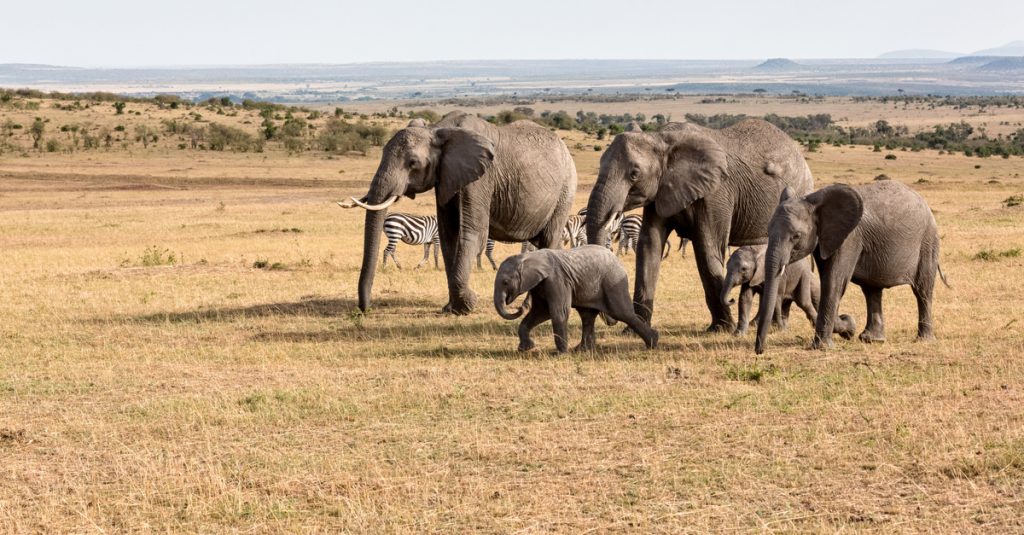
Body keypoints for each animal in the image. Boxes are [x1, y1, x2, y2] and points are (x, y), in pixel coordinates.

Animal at [497, 243, 663, 352]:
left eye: (505, 282)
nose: (519, 307)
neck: (529, 257)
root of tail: (617, 259)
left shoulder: (557, 280)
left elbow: (558, 312)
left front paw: (560, 354)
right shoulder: (538, 285)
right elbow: (540, 312)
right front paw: (525, 348)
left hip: (613, 282)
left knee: (622, 313)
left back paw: (653, 342)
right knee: (587, 316)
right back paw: (582, 350)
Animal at [585, 118, 815, 330]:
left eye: (634, 174)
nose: (611, 320)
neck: (660, 139)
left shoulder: (716, 193)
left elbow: (707, 251)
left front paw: (722, 328)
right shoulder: (660, 191)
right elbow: (649, 247)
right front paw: (635, 330)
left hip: (798, 191)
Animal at [724, 243, 860, 336]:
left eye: (743, 269)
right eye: (726, 265)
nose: (731, 299)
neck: (756, 252)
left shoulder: (777, 276)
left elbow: (776, 299)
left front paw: (780, 330)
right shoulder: (752, 277)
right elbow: (745, 298)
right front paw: (738, 335)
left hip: (803, 276)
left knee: (803, 302)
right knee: (787, 303)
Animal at [757, 180, 946, 354]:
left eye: (796, 236)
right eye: (768, 231)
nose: (760, 350)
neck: (813, 200)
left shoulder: (850, 238)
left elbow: (834, 282)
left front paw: (825, 344)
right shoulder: (825, 238)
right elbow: (828, 278)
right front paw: (847, 328)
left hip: (928, 241)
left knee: (922, 290)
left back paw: (924, 340)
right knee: (872, 290)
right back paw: (873, 340)